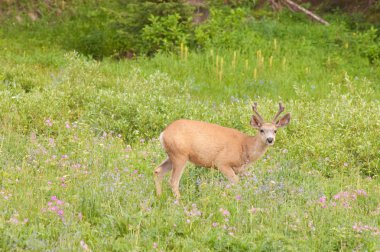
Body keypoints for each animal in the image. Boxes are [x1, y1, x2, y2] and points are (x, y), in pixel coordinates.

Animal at [153, 102, 290, 199]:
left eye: (275, 131)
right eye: (261, 130)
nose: (270, 139)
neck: (245, 147)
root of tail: (163, 133)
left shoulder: (241, 170)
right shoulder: (222, 162)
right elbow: (235, 182)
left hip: (172, 155)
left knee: (158, 170)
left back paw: (159, 197)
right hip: (180, 154)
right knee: (173, 181)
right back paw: (179, 202)